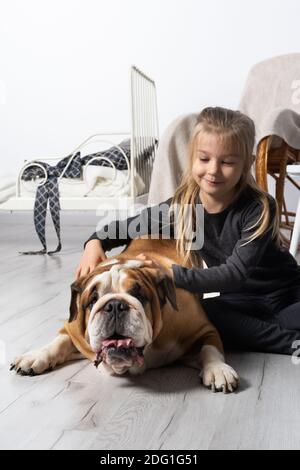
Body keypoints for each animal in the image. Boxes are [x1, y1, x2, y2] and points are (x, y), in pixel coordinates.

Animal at [9, 239, 239, 392]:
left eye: (138, 294)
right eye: (92, 300)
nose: (114, 305)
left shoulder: (203, 329)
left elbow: (210, 349)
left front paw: (218, 370)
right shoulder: (73, 330)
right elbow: (59, 342)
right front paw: (35, 356)